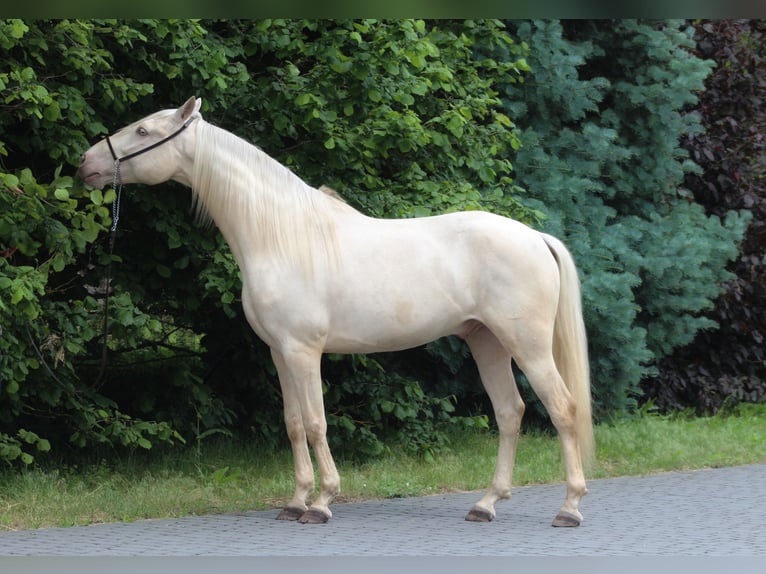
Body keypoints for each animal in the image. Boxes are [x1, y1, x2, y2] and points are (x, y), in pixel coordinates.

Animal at [77, 96, 594, 527]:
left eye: (143, 131)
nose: (86, 163)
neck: (283, 236)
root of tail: (535, 237)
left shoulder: (304, 351)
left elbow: (315, 422)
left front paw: (322, 502)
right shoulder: (280, 352)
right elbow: (292, 423)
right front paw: (295, 501)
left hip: (527, 346)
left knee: (563, 409)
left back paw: (569, 508)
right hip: (486, 342)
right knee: (510, 412)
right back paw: (486, 504)